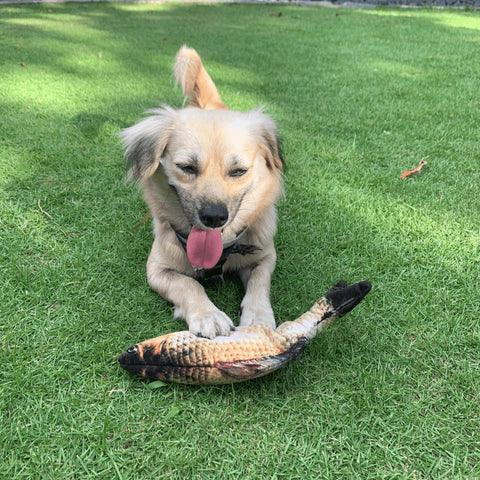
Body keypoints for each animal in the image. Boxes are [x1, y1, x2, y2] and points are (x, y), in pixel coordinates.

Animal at [122, 45, 284, 338]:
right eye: (187, 167)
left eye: (239, 171)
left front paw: (257, 317)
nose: (214, 217)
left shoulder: (265, 256)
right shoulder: (157, 269)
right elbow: (189, 285)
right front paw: (209, 315)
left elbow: (260, 284)